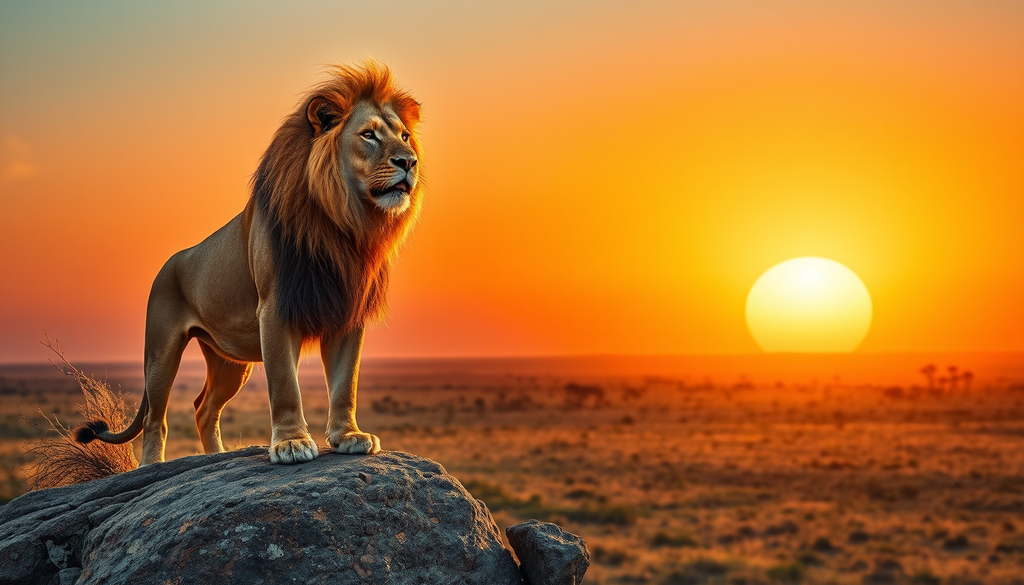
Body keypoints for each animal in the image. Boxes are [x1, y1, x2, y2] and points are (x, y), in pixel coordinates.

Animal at [74, 61, 423, 465]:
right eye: (369, 135)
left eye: (405, 136)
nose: (409, 161)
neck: (342, 224)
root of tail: (168, 264)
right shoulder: (274, 309)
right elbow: (284, 384)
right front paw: (291, 444)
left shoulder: (347, 311)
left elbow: (344, 384)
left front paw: (347, 436)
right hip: (161, 353)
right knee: (154, 417)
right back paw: (150, 466)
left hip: (229, 361)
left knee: (204, 408)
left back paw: (216, 457)